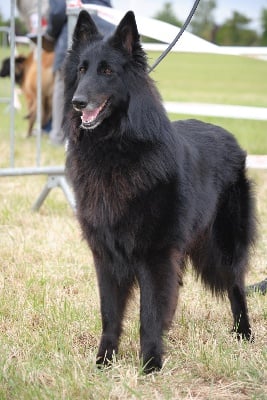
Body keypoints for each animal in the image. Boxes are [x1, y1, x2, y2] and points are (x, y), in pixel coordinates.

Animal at [63, 10, 258, 372]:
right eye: (81, 70)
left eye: (107, 71)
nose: (77, 102)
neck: (116, 149)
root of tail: (229, 136)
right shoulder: (106, 255)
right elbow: (110, 313)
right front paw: (104, 362)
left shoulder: (154, 254)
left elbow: (150, 313)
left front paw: (151, 364)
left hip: (223, 246)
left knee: (236, 285)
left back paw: (244, 333)